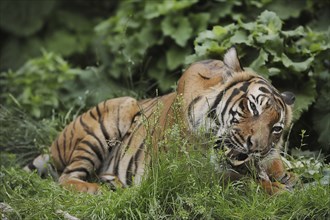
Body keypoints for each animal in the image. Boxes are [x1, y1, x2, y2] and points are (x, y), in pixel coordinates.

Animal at [24, 47, 298, 194]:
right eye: (252, 107)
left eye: (276, 128)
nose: (256, 147)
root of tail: (53, 146)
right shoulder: (197, 174)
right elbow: (248, 184)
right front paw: (280, 191)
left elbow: (274, 168)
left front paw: (286, 177)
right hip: (117, 111)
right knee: (66, 178)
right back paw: (96, 189)